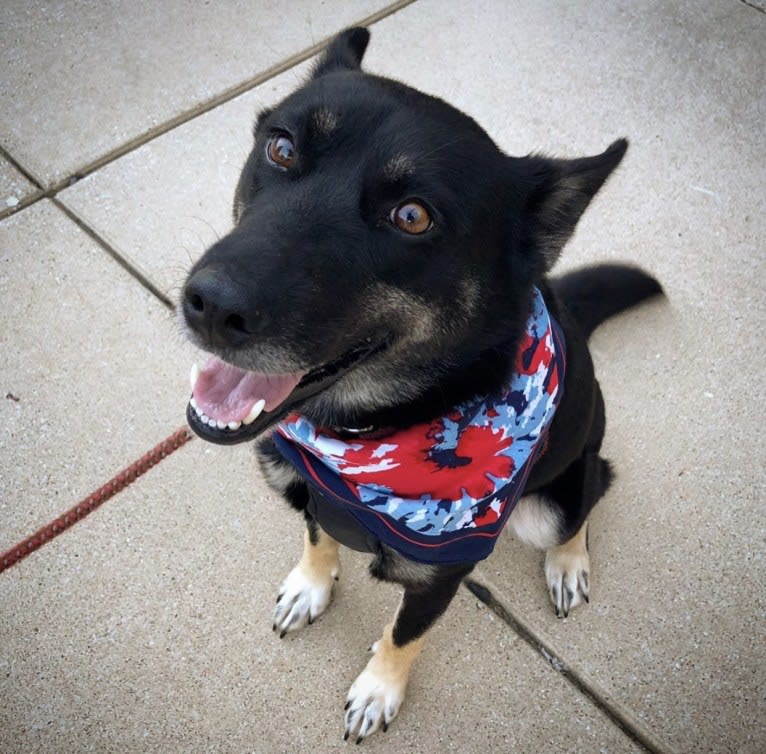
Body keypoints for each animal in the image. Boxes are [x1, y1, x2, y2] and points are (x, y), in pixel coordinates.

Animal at [178, 27, 660, 740]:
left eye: (412, 217)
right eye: (282, 147)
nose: (209, 306)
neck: (364, 434)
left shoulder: (439, 578)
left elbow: (404, 635)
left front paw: (379, 690)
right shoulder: (314, 492)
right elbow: (318, 534)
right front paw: (311, 584)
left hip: (552, 497)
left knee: (587, 495)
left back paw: (569, 562)